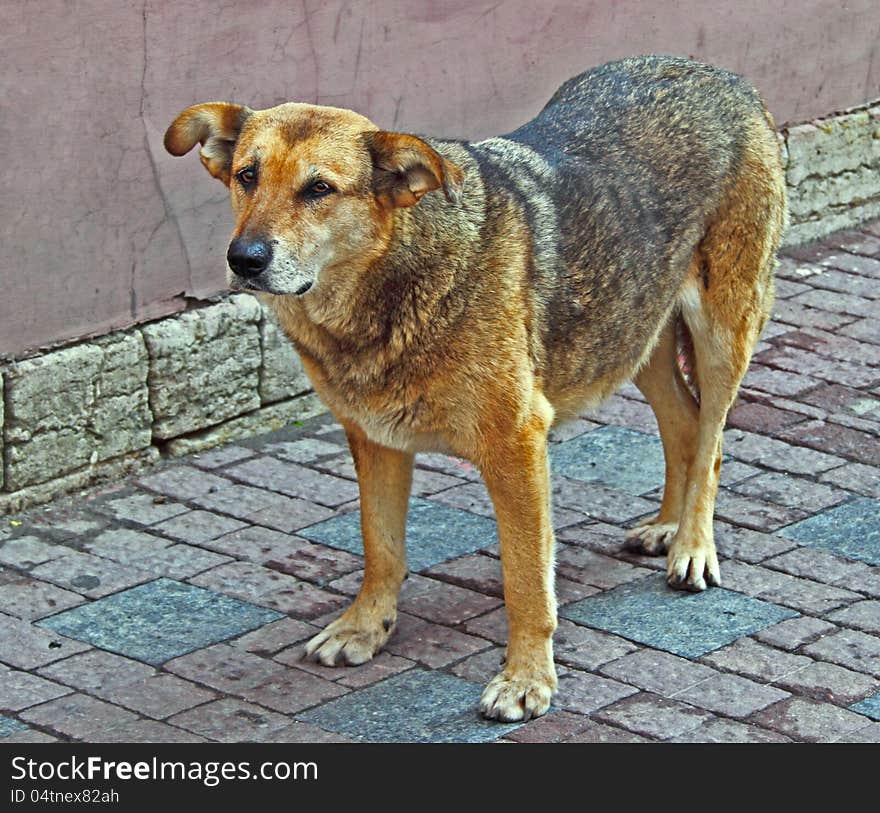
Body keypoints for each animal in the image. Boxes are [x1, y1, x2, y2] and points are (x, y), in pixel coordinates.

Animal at [167, 54, 792, 720]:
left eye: (319, 190)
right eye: (246, 176)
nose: (244, 259)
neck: (390, 288)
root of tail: (717, 73)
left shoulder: (515, 446)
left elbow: (526, 582)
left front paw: (526, 679)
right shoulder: (374, 440)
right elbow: (380, 548)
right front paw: (365, 627)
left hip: (721, 332)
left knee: (713, 440)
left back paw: (693, 546)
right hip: (629, 333)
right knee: (684, 425)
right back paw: (667, 528)